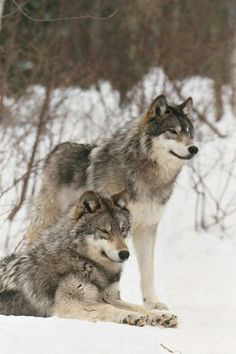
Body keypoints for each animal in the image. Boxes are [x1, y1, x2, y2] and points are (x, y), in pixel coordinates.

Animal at [0, 192, 177, 328]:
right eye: (104, 231)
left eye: (123, 229)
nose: (125, 254)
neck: (85, 261)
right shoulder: (70, 303)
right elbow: (108, 308)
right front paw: (128, 316)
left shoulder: (111, 297)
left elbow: (138, 307)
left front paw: (159, 316)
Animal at [26, 95, 198, 312]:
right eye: (172, 131)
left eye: (189, 132)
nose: (194, 148)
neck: (147, 176)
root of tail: (57, 148)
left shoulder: (146, 228)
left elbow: (148, 270)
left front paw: (152, 303)